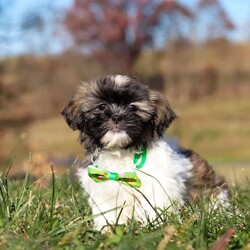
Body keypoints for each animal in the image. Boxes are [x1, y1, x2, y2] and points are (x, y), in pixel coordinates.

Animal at [61, 74, 229, 230]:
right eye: (102, 106)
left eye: (132, 107)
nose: (117, 116)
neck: (122, 153)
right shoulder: (103, 189)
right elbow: (107, 212)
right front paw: (106, 229)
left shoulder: (158, 186)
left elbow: (155, 208)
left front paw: (153, 228)